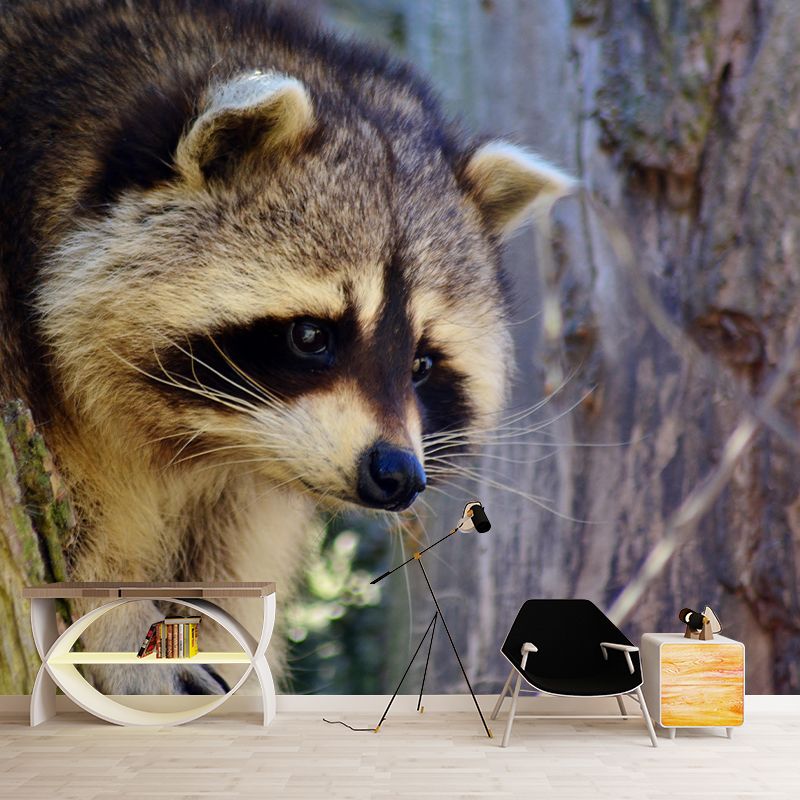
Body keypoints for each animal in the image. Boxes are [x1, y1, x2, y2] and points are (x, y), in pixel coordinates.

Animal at [0, 0, 573, 694]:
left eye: (421, 363)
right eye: (311, 336)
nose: (397, 475)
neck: (197, 435)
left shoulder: (251, 478)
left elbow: (235, 561)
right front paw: (114, 609)